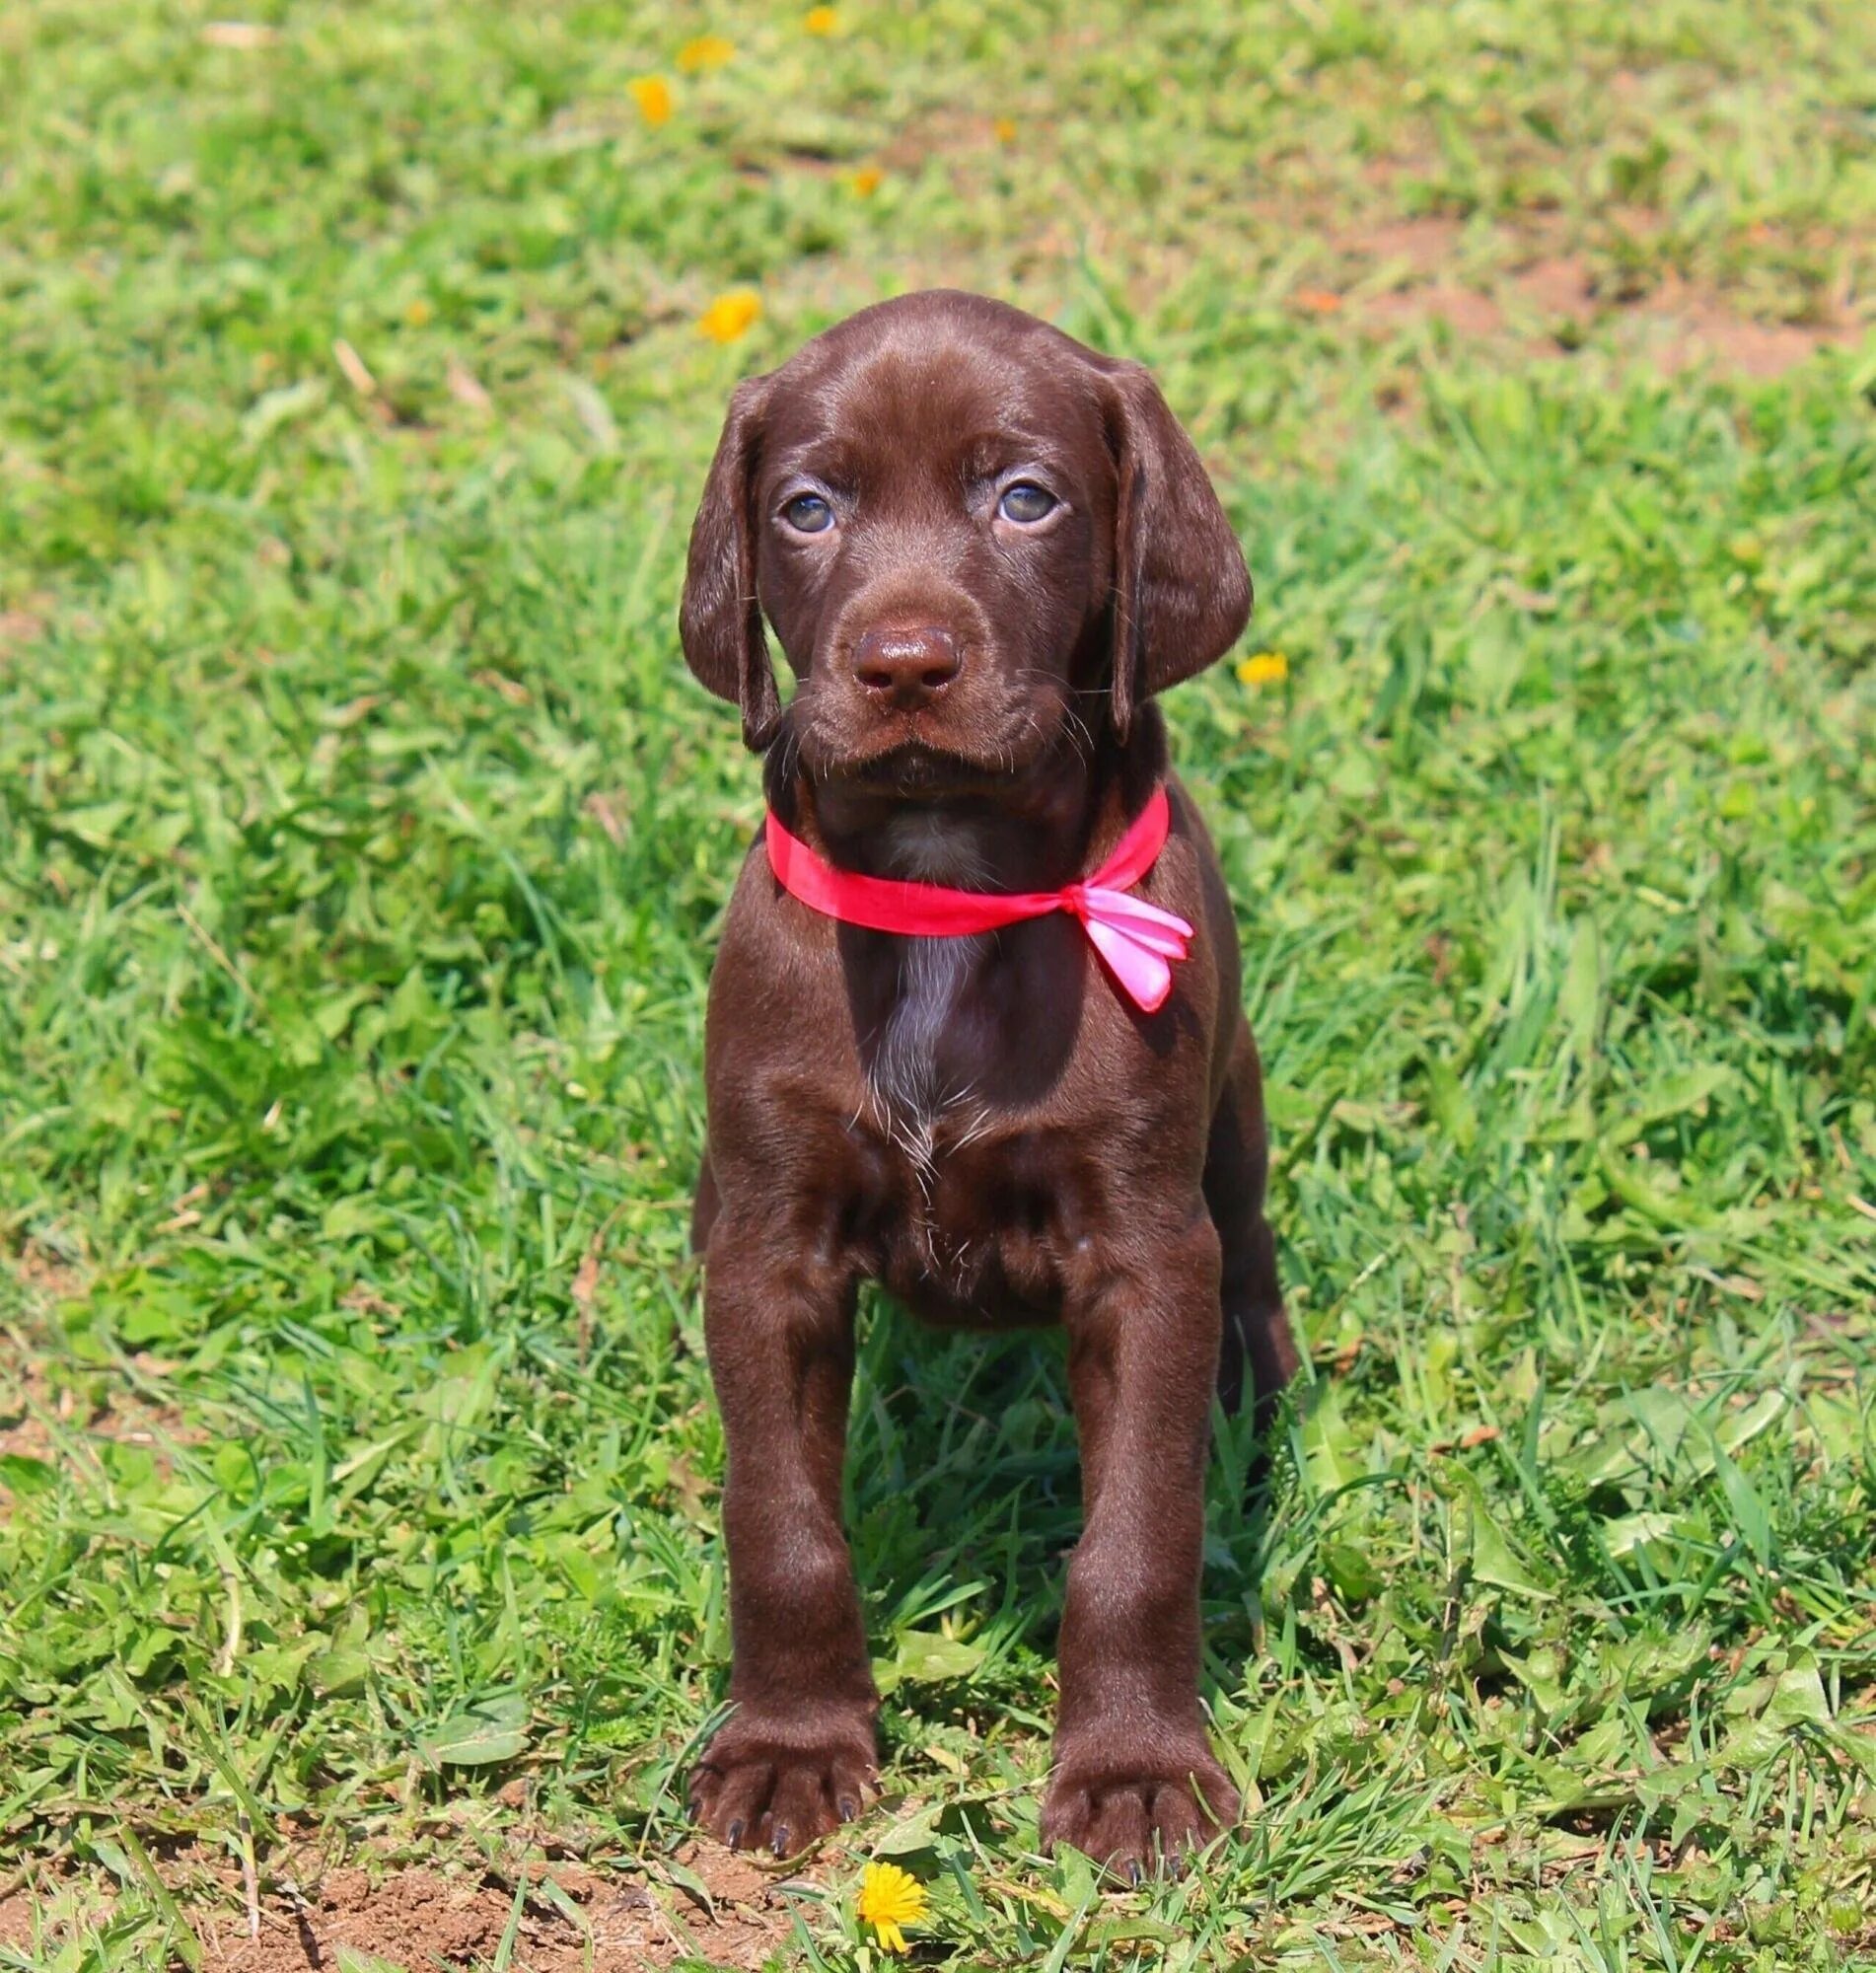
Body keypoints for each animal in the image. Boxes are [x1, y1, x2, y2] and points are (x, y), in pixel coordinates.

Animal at [683, 286, 1302, 1870]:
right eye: (808, 507)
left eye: (1026, 498)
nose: (904, 664)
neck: (947, 880)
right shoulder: (769, 1248)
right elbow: (780, 1521)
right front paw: (790, 1746)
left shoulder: (1145, 1251)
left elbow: (1136, 1535)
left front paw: (1137, 1771)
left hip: (1232, 1128)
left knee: (1251, 1249)